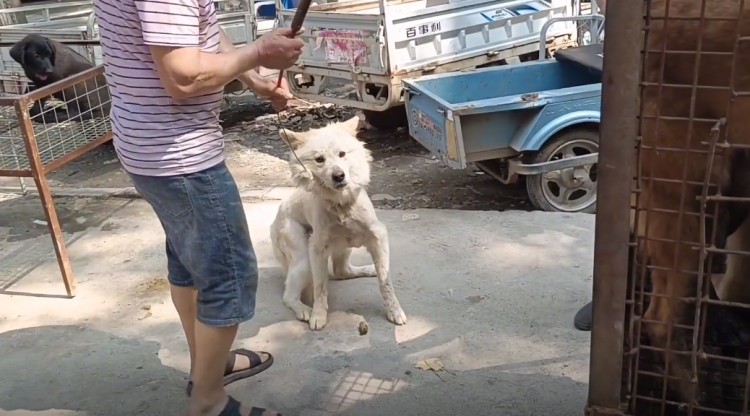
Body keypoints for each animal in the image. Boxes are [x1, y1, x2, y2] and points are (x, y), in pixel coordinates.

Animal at [270, 115, 408, 330]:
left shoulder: (378, 236)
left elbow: (385, 282)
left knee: (341, 272)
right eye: (319, 159)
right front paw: (318, 315)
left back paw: (368, 269)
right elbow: (320, 288)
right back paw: (304, 310)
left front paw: (394, 310)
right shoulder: (317, 249)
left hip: (344, 247)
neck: (341, 205)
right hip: (303, 258)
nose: (339, 176)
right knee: (288, 295)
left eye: (342, 154)